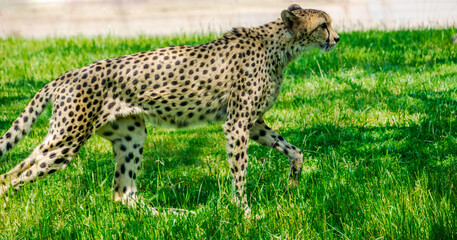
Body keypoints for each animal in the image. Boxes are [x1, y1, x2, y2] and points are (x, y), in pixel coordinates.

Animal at [0, 3, 338, 215]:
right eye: (323, 25)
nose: (337, 38)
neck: (280, 47)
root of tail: (63, 76)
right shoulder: (237, 124)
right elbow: (240, 173)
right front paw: (244, 212)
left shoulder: (253, 123)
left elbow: (295, 151)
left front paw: (292, 184)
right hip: (66, 141)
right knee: (12, 176)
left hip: (129, 135)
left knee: (122, 194)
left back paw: (176, 215)